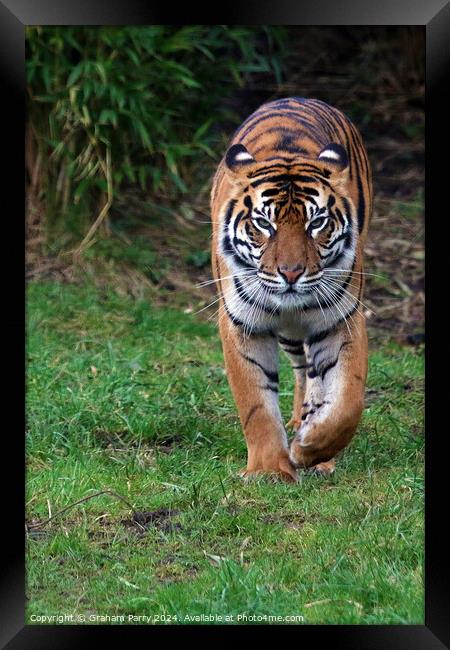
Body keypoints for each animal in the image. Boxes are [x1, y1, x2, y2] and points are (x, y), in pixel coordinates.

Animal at [211, 97, 372, 480]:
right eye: (263, 224)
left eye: (317, 223)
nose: (291, 273)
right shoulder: (243, 324)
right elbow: (255, 405)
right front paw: (269, 470)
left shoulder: (341, 319)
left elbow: (346, 401)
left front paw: (311, 448)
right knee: (302, 369)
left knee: (313, 374)